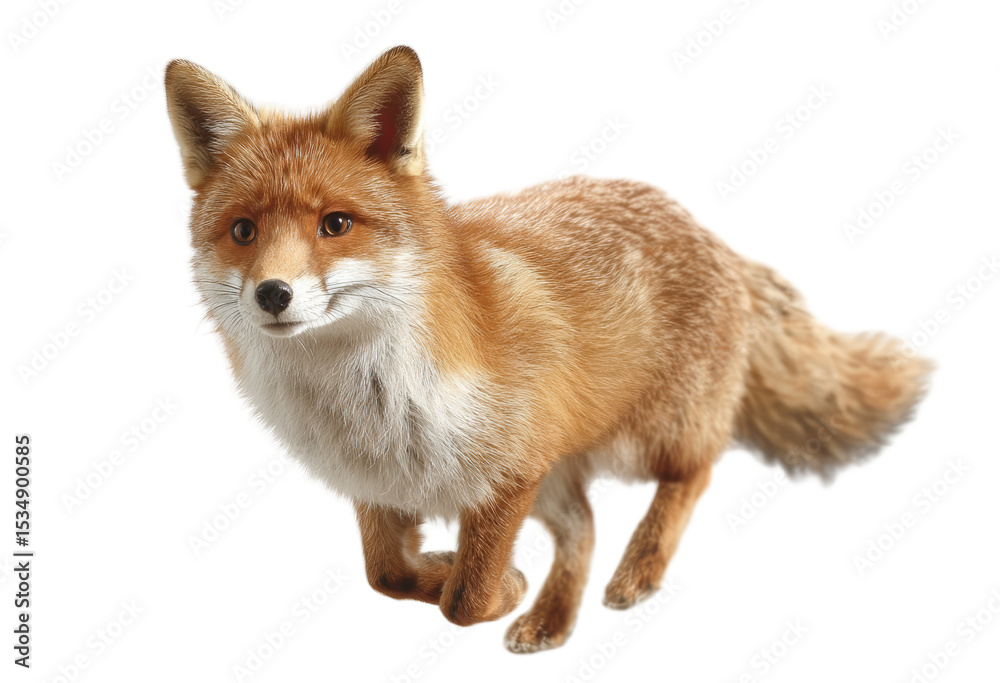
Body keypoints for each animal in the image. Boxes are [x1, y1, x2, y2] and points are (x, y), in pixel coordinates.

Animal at [165, 46, 932, 653]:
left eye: (334, 224)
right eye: (243, 231)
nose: (272, 294)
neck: (367, 400)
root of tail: (712, 237)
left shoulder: (509, 473)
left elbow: (464, 600)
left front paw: (494, 584)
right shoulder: (382, 486)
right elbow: (387, 576)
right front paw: (471, 576)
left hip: (644, 439)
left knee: (698, 469)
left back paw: (640, 568)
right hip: (563, 473)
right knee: (585, 528)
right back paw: (554, 619)